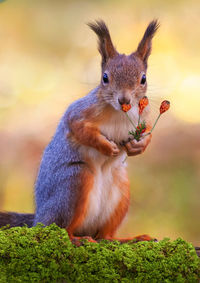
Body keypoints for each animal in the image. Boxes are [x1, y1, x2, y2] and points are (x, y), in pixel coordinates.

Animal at [0, 20, 159, 245]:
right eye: (105, 78)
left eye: (143, 79)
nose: (124, 100)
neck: (120, 113)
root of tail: (38, 219)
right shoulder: (78, 113)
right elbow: (80, 129)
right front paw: (106, 146)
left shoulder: (143, 119)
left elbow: (148, 134)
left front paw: (137, 146)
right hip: (74, 183)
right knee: (60, 229)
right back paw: (77, 239)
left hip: (121, 191)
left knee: (106, 236)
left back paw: (130, 239)